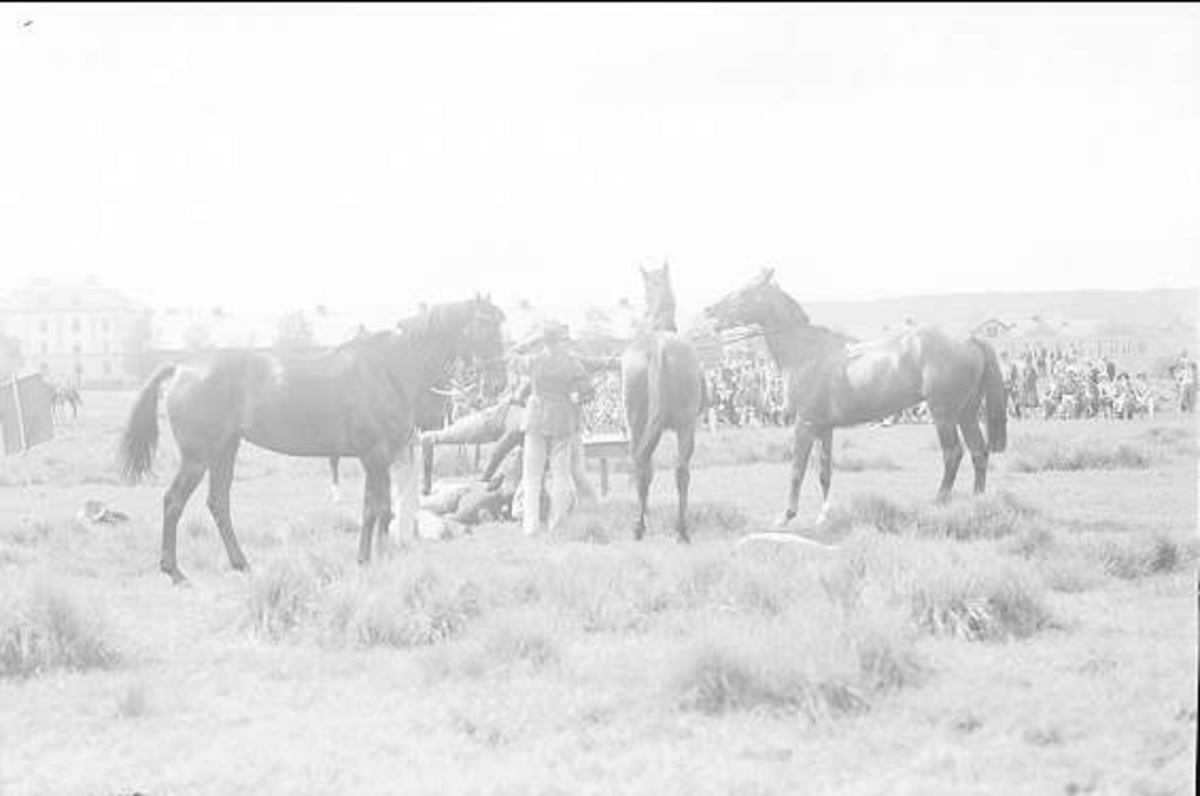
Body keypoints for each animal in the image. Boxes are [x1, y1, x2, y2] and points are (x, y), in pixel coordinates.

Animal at [118, 295, 506, 584]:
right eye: (484, 327)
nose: (499, 383)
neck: (388, 368)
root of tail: (183, 367)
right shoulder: (374, 454)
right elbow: (378, 508)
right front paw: (376, 560)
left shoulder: (378, 457)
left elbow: (376, 509)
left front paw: (371, 558)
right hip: (198, 457)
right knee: (173, 502)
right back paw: (175, 572)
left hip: (225, 450)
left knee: (218, 504)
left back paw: (241, 564)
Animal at [620, 262, 707, 542]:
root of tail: (658, 346)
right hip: (684, 427)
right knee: (678, 470)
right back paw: (679, 530)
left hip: (639, 425)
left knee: (644, 467)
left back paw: (642, 527)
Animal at [702, 268, 1007, 529]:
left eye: (745, 291)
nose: (708, 310)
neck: (805, 351)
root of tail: (970, 339)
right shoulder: (824, 428)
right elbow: (825, 472)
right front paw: (824, 516)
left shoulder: (805, 424)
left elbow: (797, 469)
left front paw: (786, 516)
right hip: (966, 412)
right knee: (979, 452)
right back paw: (979, 503)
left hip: (943, 413)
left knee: (953, 453)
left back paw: (940, 501)